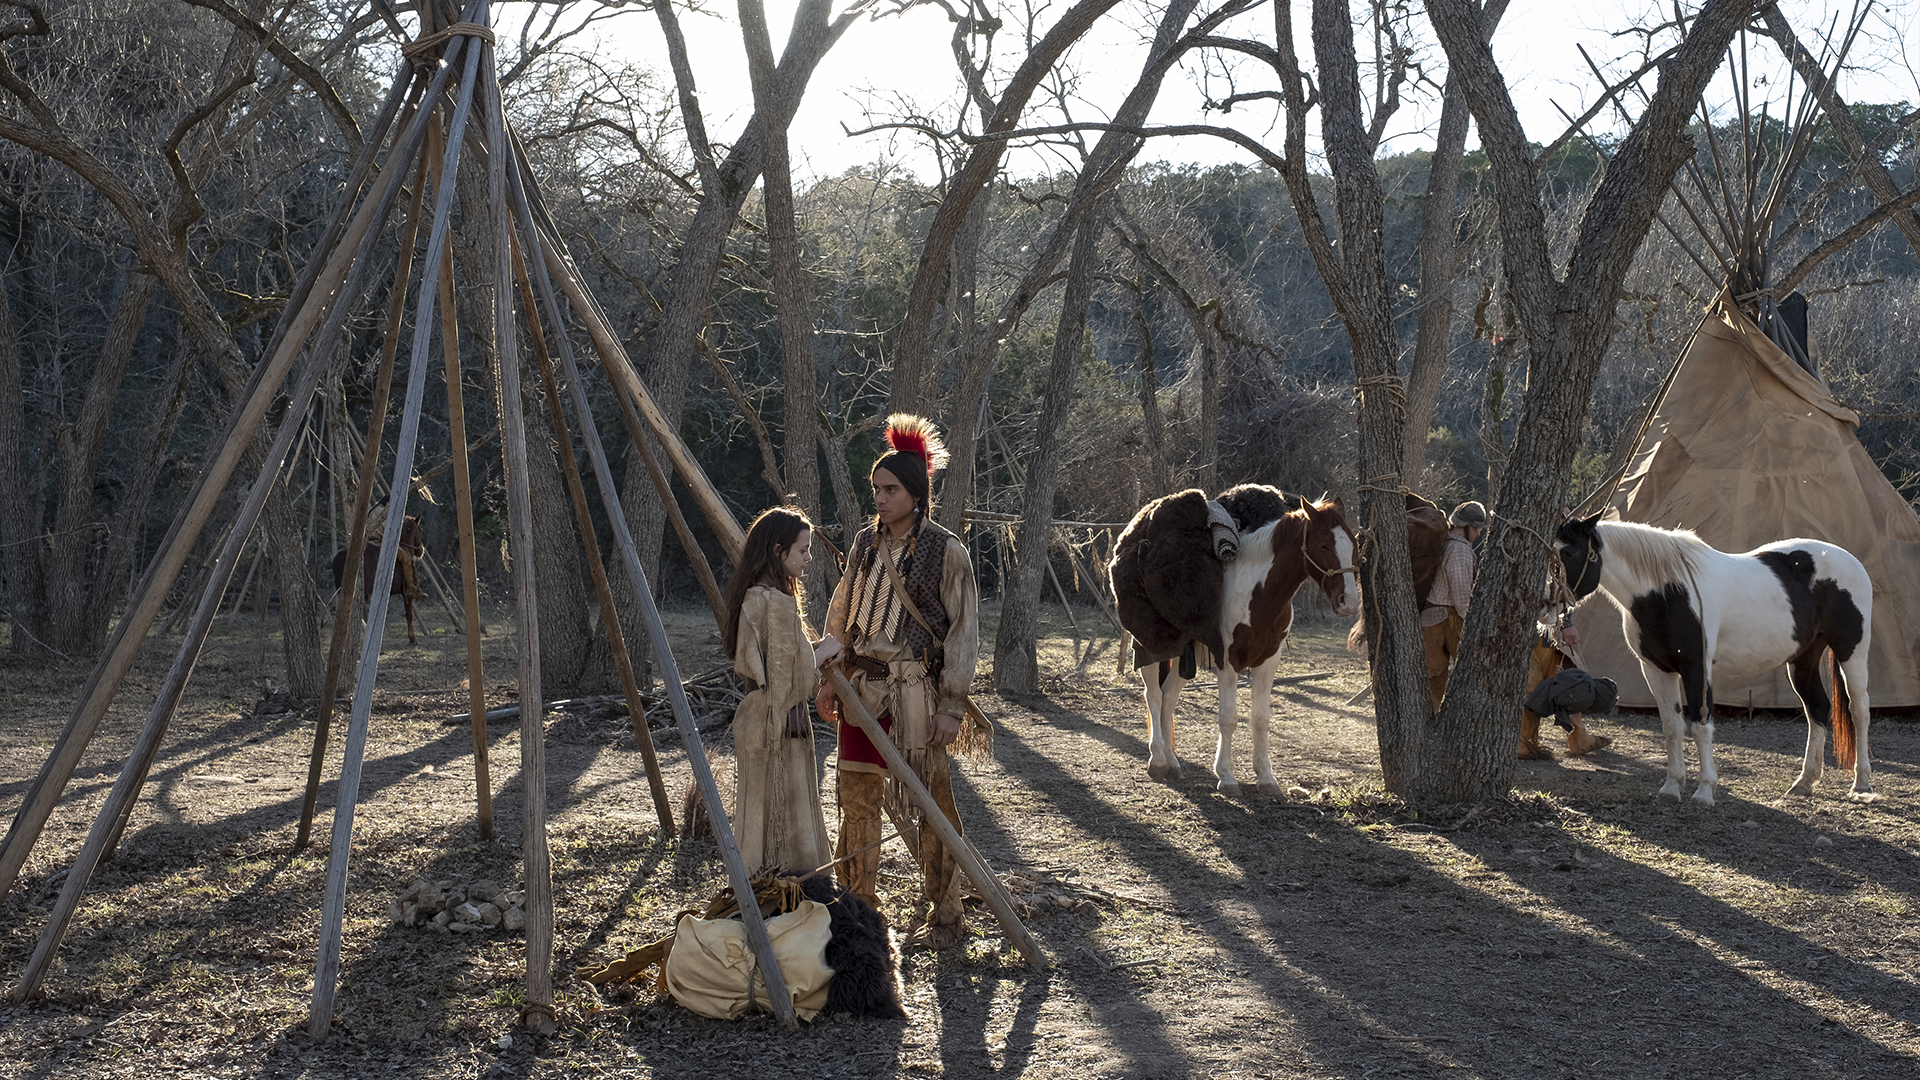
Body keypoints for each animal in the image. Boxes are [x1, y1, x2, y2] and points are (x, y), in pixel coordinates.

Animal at [1113, 488, 1367, 791]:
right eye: (1324, 545)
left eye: (1353, 544)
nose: (1348, 602)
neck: (1258, 593)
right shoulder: (1228, 660)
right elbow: (1228, 718)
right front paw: (1226, 776)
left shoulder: (1269, 660)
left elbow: (1260, 718)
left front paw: (1266, 776)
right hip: (1151, 647)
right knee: (1153, 695)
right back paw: (1158, 760)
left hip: (1183, 653)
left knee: (1169, 696)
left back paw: (1172, 762)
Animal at [1551, 511, 1866, 799]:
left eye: (1569, 551)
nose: (1547, 601)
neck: (1667, 592)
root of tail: (1851, 561)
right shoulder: (1656, 670)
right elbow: (1672, 727)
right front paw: (1672, 787)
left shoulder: (1697, 668)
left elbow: (1701, 726)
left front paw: (1704, 791)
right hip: (1803, 658)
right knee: (1817, 709)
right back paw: (1804, 782)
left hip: (1851, 651)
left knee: (1858, 710)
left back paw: (1861, 784)